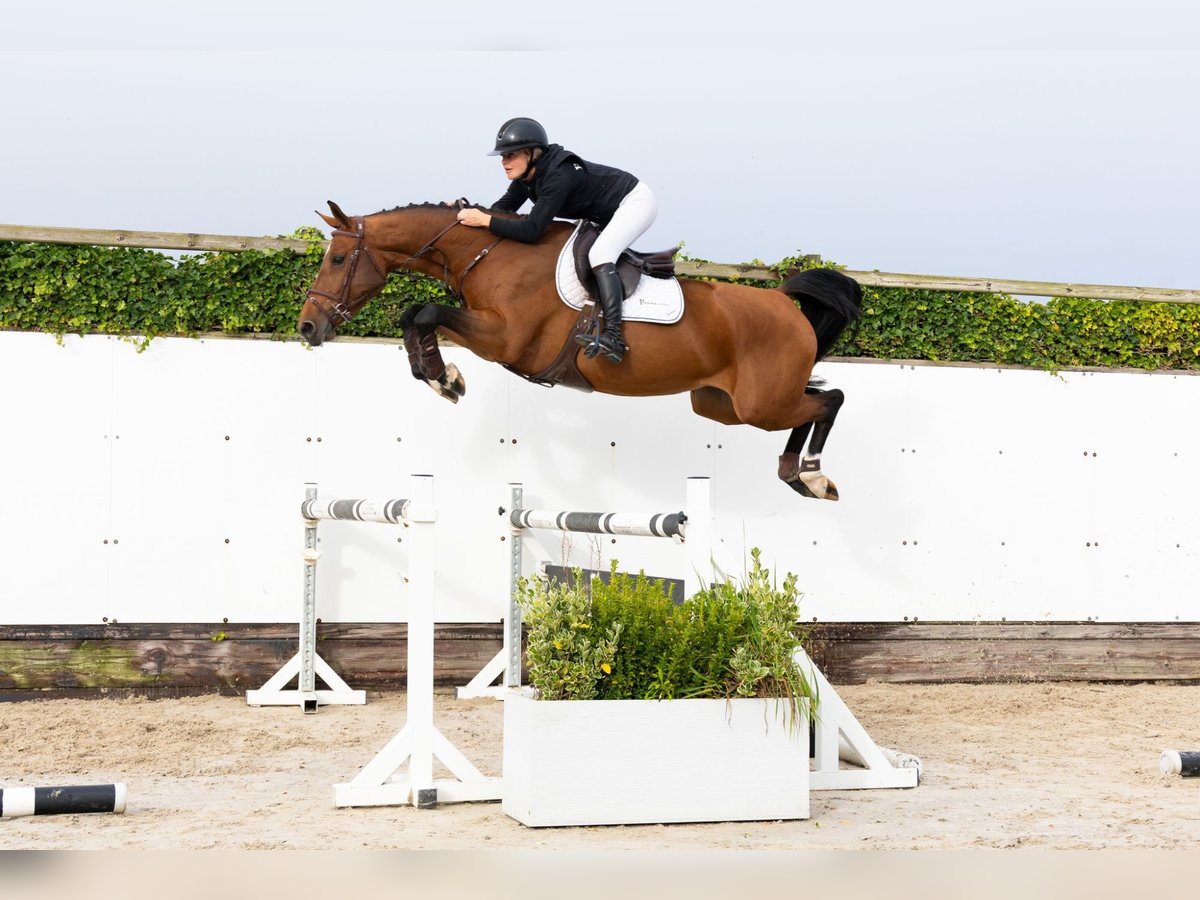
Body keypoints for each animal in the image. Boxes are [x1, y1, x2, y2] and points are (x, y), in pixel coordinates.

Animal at [298, 201, 862, 500]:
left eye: (339, 258)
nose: (307, 327)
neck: (489, 252)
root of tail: (785, 303)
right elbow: (416, 314)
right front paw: (442, 376)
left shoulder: (506, 338)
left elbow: (425, 312)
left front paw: (444, 377)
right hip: (720, 405)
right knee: (813, 401)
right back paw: (796, 475)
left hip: (760, 404)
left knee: (828, 401)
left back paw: (812, 475)